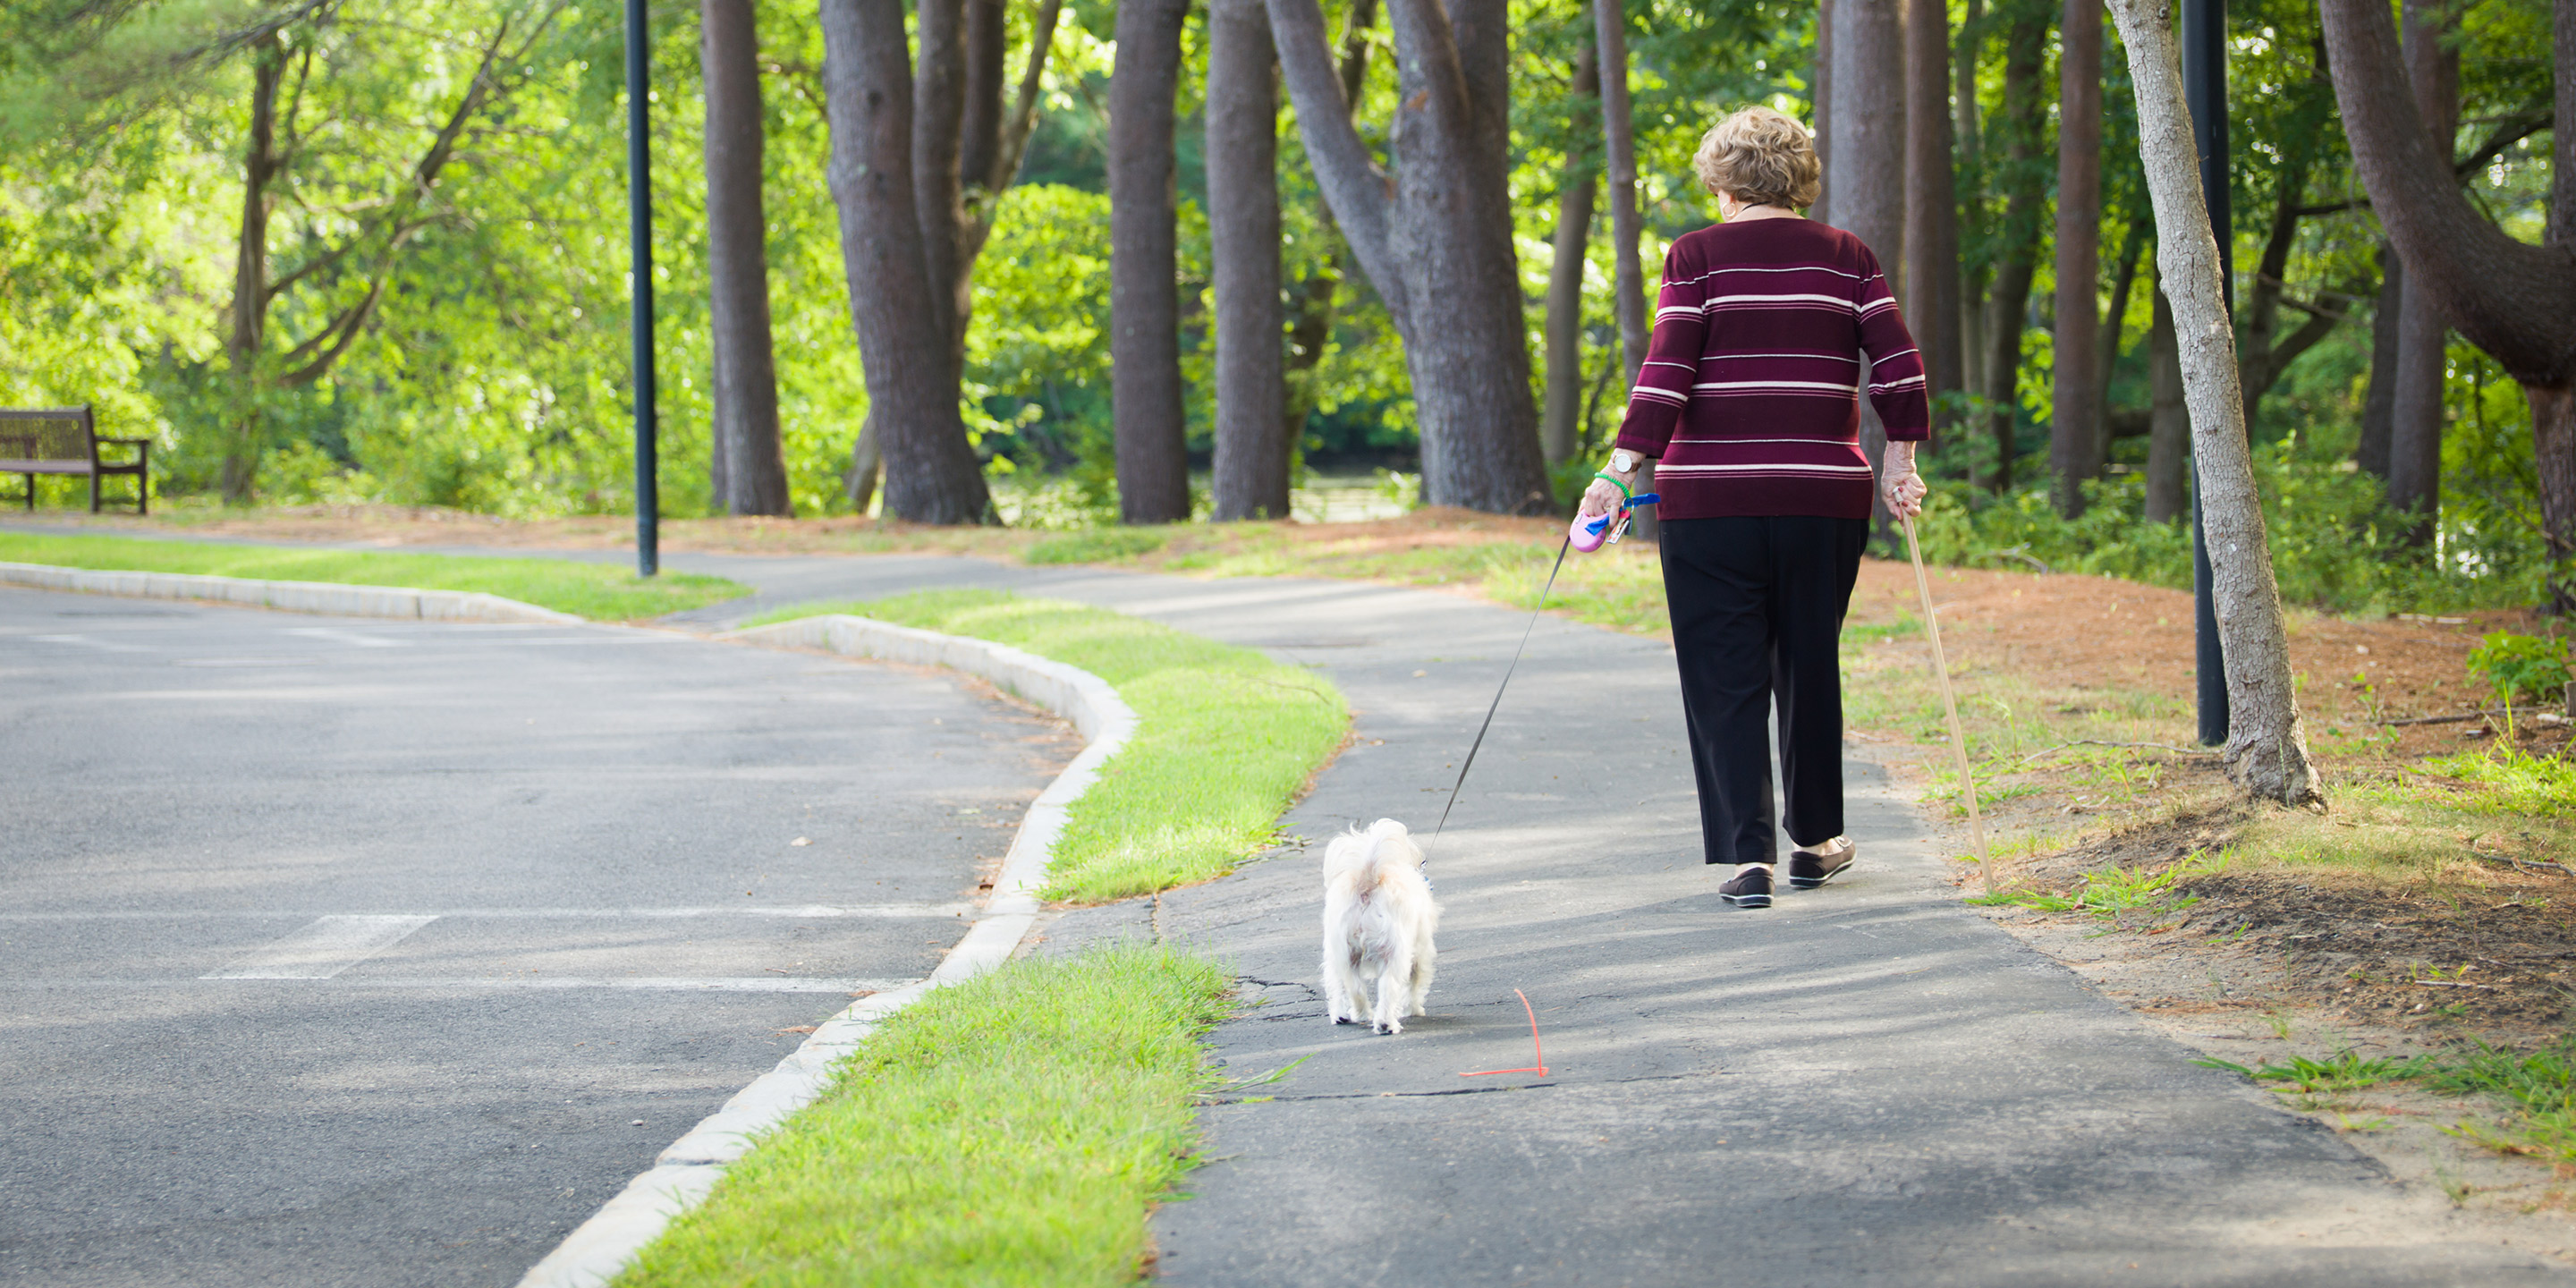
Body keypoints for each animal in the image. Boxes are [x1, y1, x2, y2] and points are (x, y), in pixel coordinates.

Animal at [1318, 824, 1442, 1035]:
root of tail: (1367, 882)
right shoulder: (1419, 953)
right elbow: (1414, 982)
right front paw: (1413, 1009)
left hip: (1344, 951)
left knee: (1353, 986)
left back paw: (1355, 1014)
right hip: (1394, 951)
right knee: (1389, 986)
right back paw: (1386, 1023)